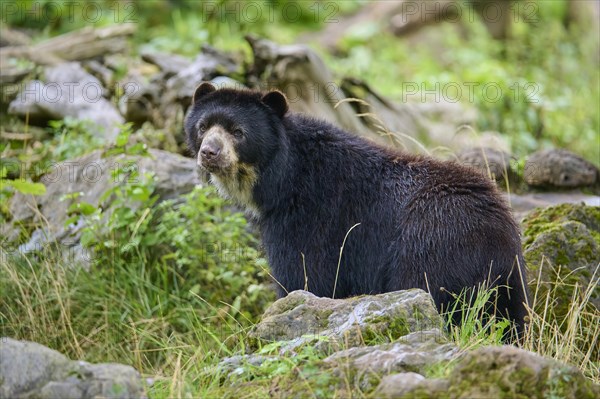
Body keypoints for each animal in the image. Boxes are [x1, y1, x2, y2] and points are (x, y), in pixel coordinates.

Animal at [184, 83, 528, 336]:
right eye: (203, 127)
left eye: (238, 132)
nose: (210, 153)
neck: (280, 179)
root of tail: (495, 231)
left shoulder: (311, 216)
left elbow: (305, 276)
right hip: (509, 280)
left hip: (431, 244)